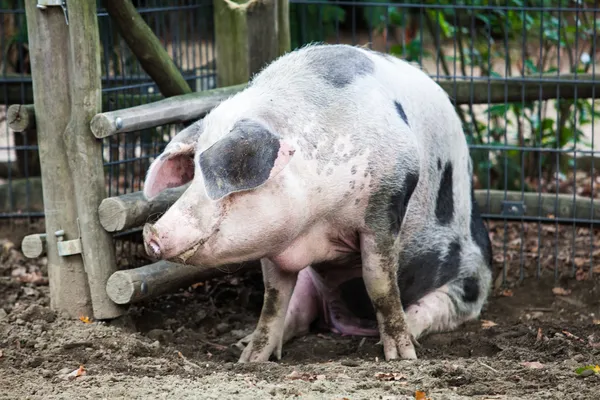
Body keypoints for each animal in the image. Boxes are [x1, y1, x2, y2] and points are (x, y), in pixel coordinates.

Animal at [141, 43, 492, 362]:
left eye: (223, 182)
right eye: (193, 172)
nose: (151, 234)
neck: (317, 222)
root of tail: (345, 325)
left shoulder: (387, 201)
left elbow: (380, 285)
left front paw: (400, 356)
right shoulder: (275, 242)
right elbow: (273, 300)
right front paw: (249, 360)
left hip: (471, 280)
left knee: (434, 307)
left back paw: (407, 340)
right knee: (298, 313)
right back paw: (242, 343)